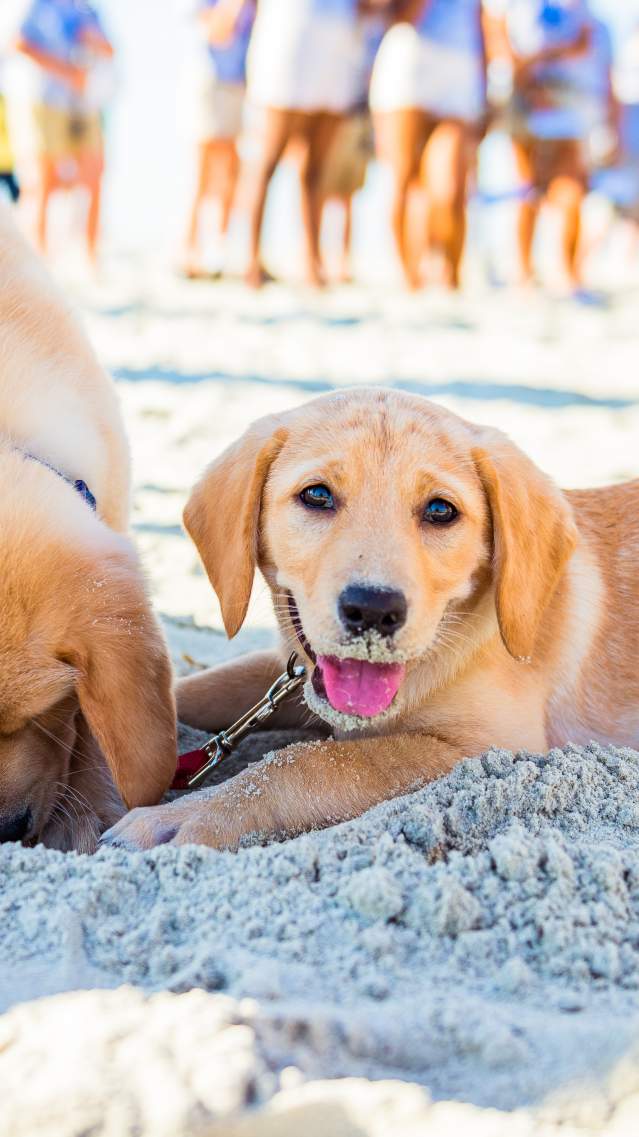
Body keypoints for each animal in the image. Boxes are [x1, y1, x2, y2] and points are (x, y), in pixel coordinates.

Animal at [104, 386, 636, 850]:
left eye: (440, 509)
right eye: (317, 496)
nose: (374, 609)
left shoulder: (495, 748)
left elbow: (311, 762)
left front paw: (190, 814)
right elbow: (192, 691)